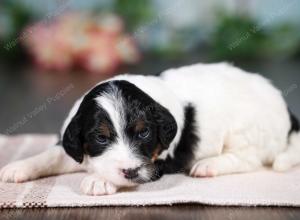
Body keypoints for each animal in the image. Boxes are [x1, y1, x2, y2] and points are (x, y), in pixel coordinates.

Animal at [0, 62, 300, 195]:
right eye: (101, 137)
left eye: (144, 133)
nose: (130, 170)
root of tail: (284, 106)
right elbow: (53, 154)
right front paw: (18, 167)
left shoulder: (158, 161)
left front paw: (99, 180)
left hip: (246, 132)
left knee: (249, 158)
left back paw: (209, 165)